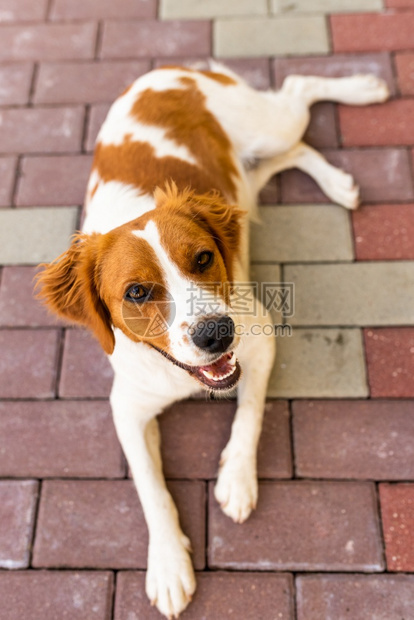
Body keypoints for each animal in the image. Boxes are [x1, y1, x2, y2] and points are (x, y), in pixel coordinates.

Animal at [37, 61, 390, 616]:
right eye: (136, 292)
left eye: (203, 258)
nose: (216, 333)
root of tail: (173, 68)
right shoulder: (127, 407)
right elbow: (150, 487)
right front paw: (168, 565)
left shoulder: (260, 340)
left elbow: (250, 412)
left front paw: (237, 479)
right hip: (247, 176)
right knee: (290, 150)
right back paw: (338, 181)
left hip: (269, 125)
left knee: (298, 93)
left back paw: (364, 91)